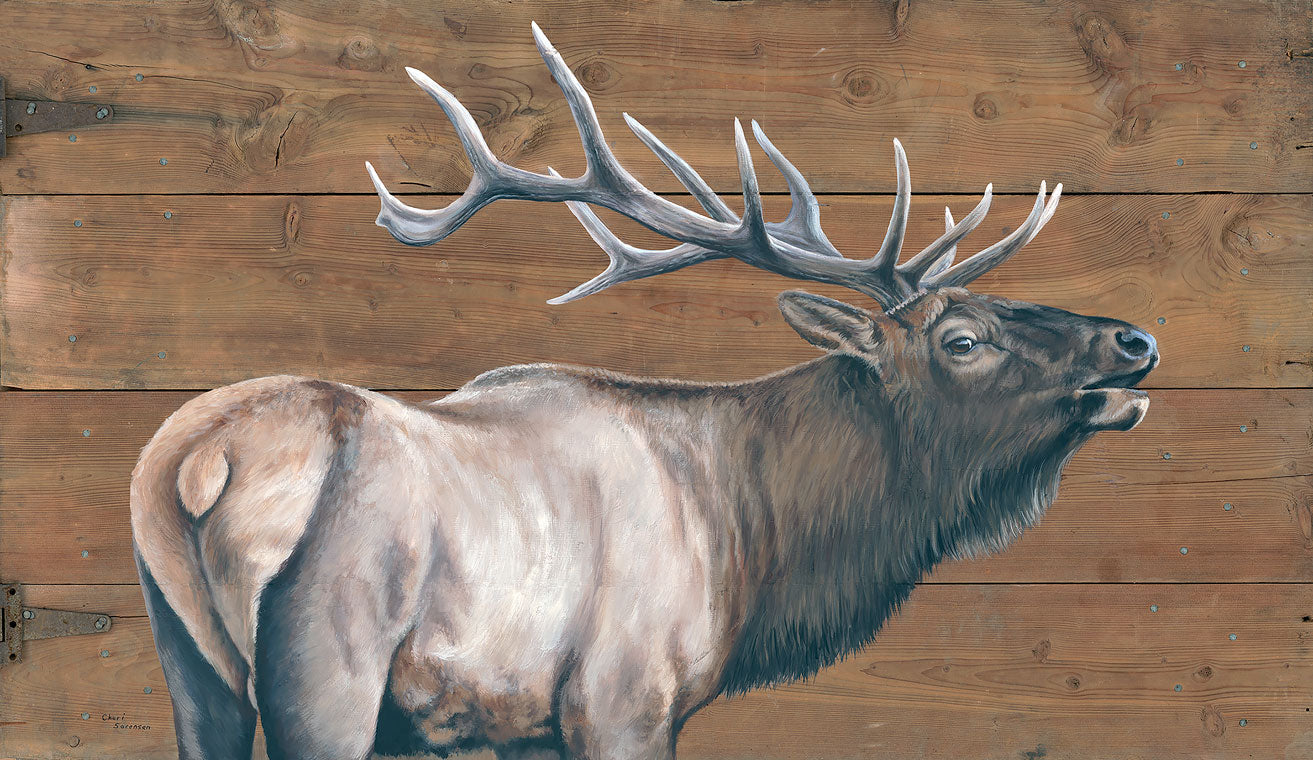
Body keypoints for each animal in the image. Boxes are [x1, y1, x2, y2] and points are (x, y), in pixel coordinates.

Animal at [130, 23, 1158, 760]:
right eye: (962, 339)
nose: (1133, 338)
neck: (751, 537)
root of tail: (194, 463)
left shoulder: (517, 729)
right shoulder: (622, 699)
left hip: (188, 666)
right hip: (328, 664)